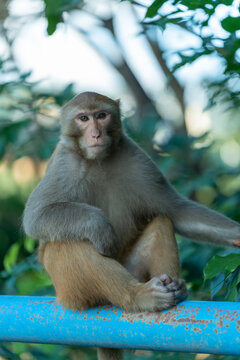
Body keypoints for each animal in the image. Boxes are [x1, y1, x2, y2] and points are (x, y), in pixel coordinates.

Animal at [23, 92, 240, 360]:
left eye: (101, 115)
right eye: (83, 118)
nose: (95, 134)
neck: (99, 161)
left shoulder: (135, 157)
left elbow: (176, 211)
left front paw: (238, 235)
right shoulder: (64, 163)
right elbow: (36, 217)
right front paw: (100, 228)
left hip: (132, 268)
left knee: (161, 221)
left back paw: (173, 288)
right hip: (70, 292)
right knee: (67, 244)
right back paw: (137, 296)